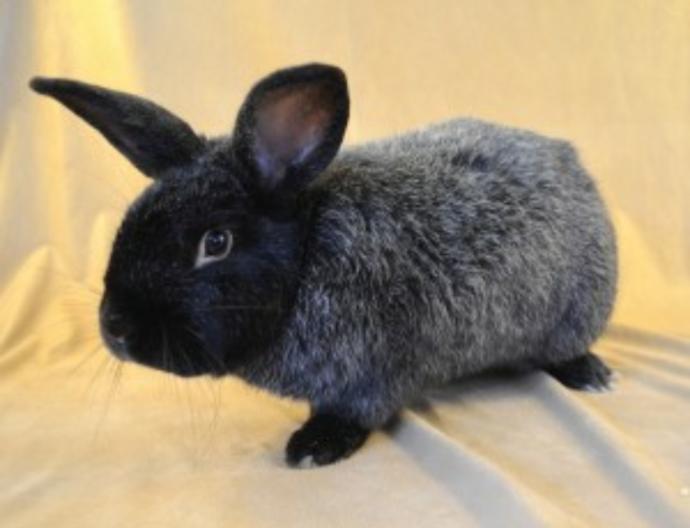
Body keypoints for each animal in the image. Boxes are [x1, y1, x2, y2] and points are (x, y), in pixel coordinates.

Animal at [30, 63, 617, 467]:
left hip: (576, 311)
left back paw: (591, 376)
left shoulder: (366, 377)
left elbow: (351, 413)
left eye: (216, 242)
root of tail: (571, 163)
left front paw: (313, 447)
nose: (115, 329)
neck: (308, 257)